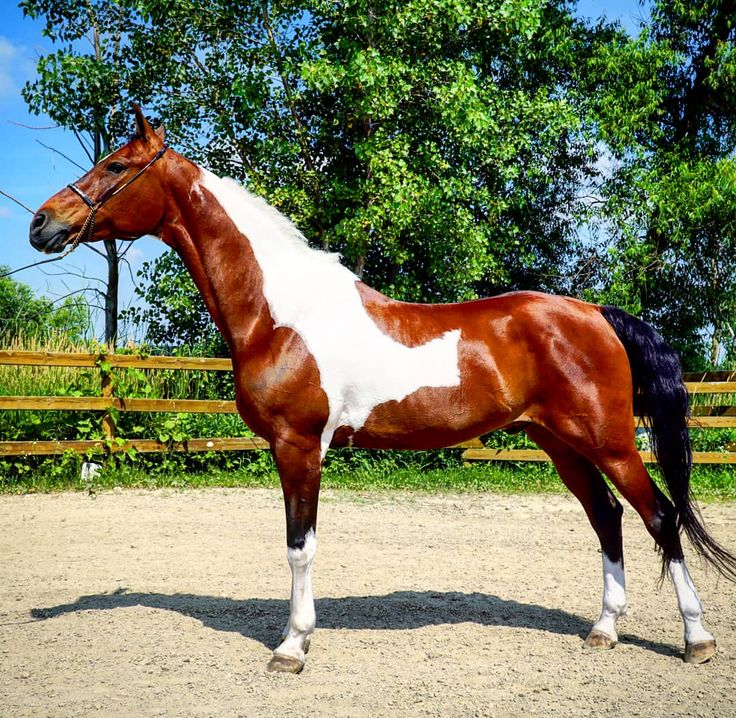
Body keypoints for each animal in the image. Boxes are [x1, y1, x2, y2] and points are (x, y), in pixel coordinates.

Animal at [30, 107, 736, 676]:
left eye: (117, 165)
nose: (43, 223)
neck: (281, 313)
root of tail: (596, 314)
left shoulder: (298, 447)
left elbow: (299, 547)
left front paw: (292, 647)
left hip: (610, 442)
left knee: (659, 516)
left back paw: (696, 639)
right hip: (561, 444)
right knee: (608, 518)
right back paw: (604, 630)